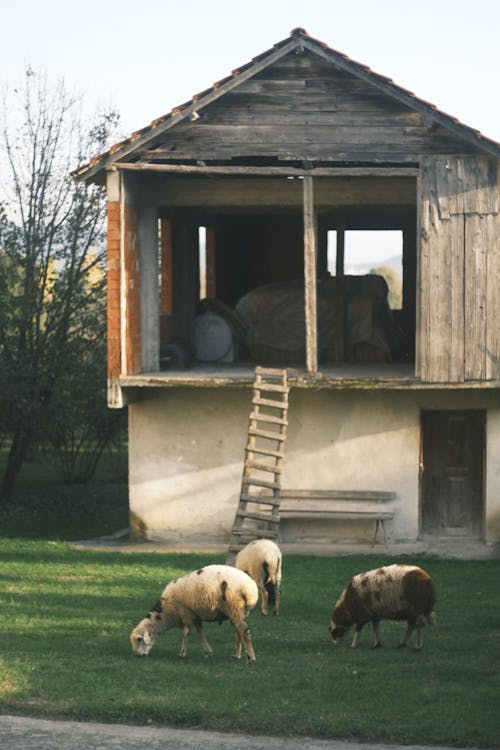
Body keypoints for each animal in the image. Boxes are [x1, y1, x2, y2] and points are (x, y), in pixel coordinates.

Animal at [129, 568, 258, 660]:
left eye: (139, 639)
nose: (138, 655)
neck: (167, 613)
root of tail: (250, 589)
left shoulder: (186, 615)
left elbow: (186, 633)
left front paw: (182, 653)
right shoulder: (195, 616)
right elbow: (201, 634)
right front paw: (208, 652)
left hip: (234, 607)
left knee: (244, 630)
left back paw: (251, 657)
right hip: (235, 612)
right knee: (238, 631)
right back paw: (237, 655)